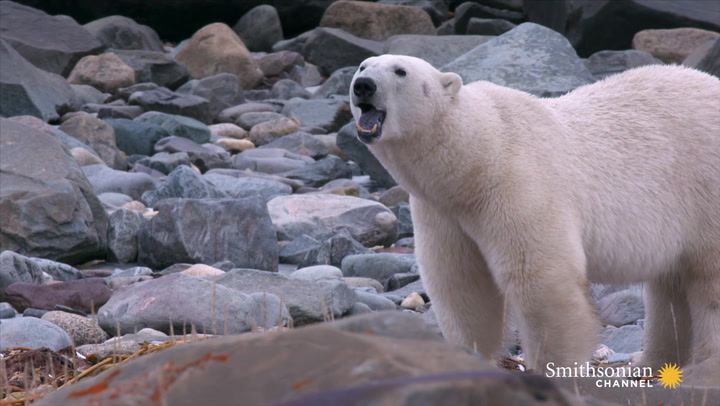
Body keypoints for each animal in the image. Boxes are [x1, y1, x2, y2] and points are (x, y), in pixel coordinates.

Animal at [349, 54, 720, 378]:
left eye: (400, 71)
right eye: (363, 65)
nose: (363, 86)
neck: (477, 160)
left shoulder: (517, 184)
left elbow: (540, 279)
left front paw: (553, 369)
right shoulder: (443, 213)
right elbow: (461, 284)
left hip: (704, 189)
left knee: (707, 281)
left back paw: (701, 367)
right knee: (669, 286)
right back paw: (649, 364)